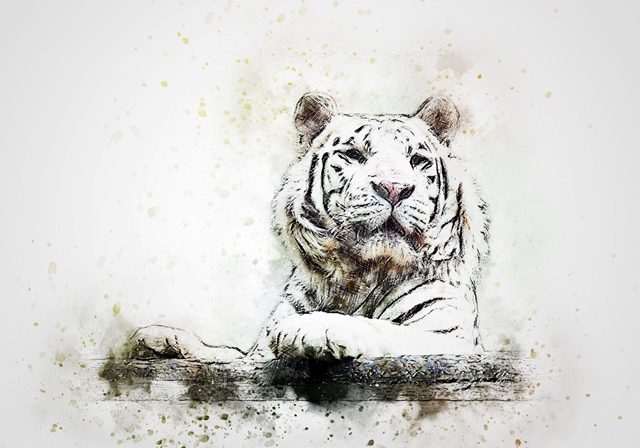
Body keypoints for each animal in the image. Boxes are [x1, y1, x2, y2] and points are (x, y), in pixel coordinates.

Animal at [127, 92, 490, 362]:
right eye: (354, 155)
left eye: (417, 160)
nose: (393, 188)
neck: (361, 274)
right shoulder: (255, 355)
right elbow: (227, 353)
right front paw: (158, 339)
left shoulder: (452, 339)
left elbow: (386, 330)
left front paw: (312, 329)